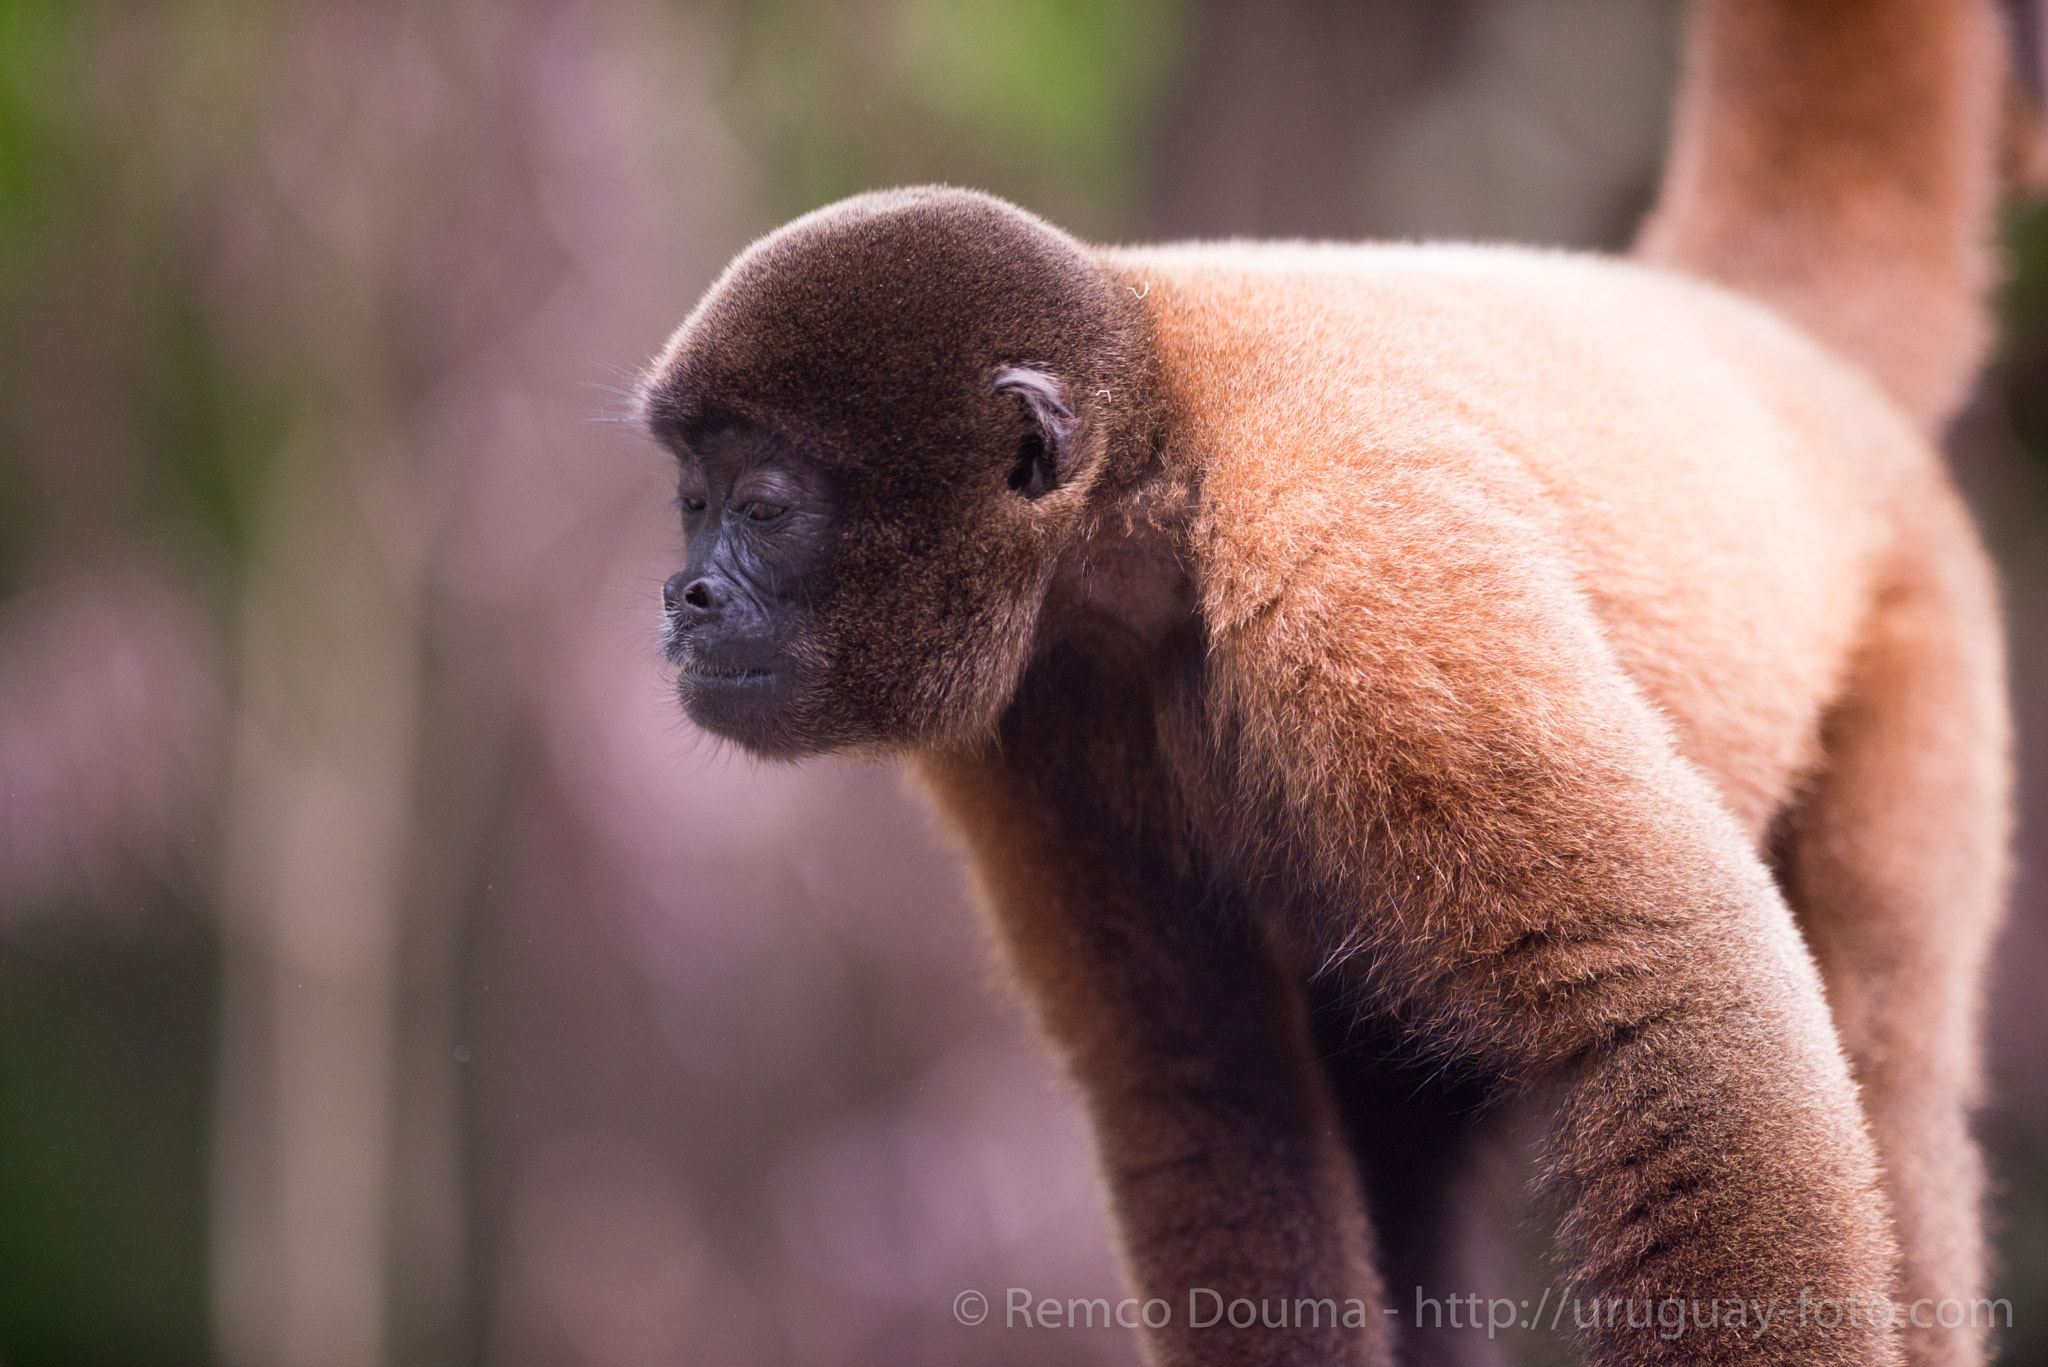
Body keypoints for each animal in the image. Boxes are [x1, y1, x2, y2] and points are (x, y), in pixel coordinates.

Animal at [636, 1, 2018, 1364]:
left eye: (764, 509)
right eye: (691, 503)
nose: (684, 596)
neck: (1149, 480)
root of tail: (1749, 335)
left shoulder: (1361, 574)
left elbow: (1671, 996)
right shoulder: (1021, 722)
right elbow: (1194, 1078)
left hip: (1921, 637)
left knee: (1887, 1057)